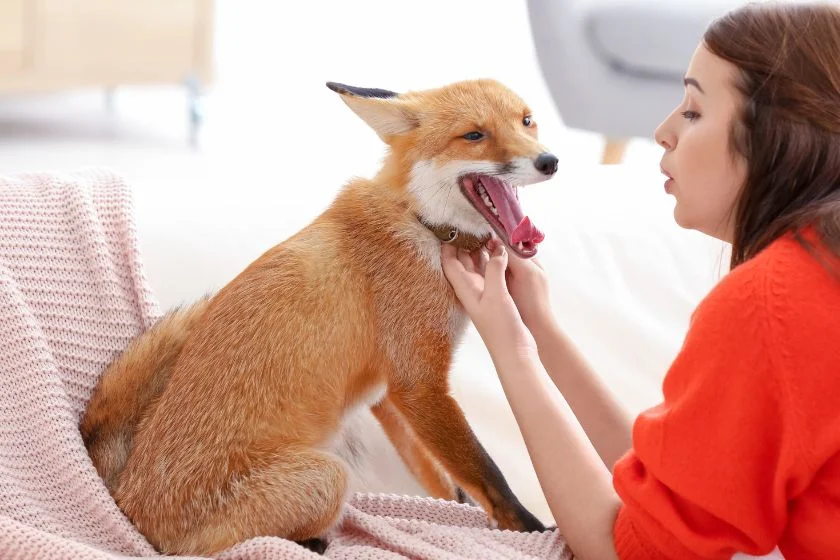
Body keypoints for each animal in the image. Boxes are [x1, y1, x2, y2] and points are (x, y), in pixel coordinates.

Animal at [82, 77, 560, 556]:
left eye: (526, 121)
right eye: (474, 135)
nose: (550, 161)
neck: (418, 221)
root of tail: (125, 503)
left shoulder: (388, 390)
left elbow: (444, 476)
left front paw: (459, 505)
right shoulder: (418, 383)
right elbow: (487, 473)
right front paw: (532, 530)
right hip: (328, 477)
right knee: (209, 550)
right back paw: (310, 541)